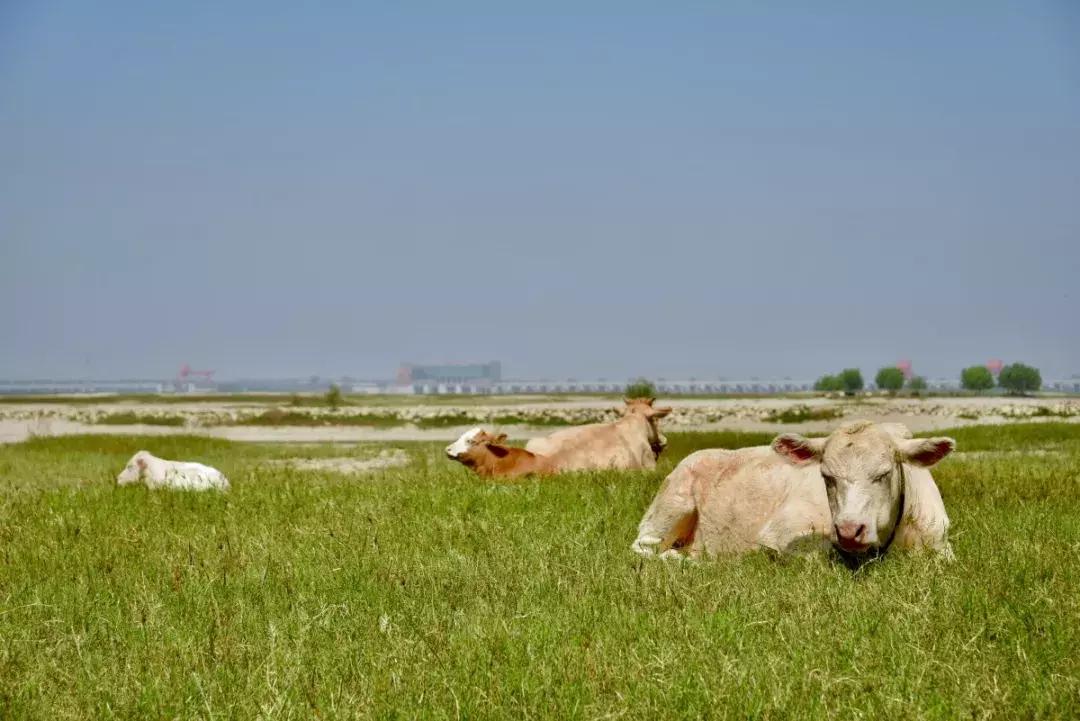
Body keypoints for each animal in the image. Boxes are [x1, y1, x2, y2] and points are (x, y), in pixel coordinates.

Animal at [630, 423, 954, 561]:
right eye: (826, 476)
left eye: (884, 474)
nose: (849, 530)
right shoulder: (781, 534)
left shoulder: (940, 543)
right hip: (671, 507)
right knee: (644, 549)